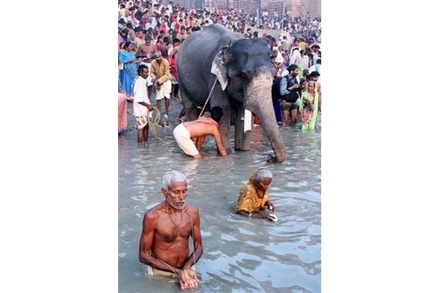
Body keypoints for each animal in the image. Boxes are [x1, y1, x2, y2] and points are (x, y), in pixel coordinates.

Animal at [177, 24, 288, 163]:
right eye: (244, 75)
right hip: (181, 80)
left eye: (273, 73)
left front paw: (243, 152)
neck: (231, 45)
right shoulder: (214, 78)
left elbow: (243, 120)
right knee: (190, 109)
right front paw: (227, 153)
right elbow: (223, 117)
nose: (270, 157)